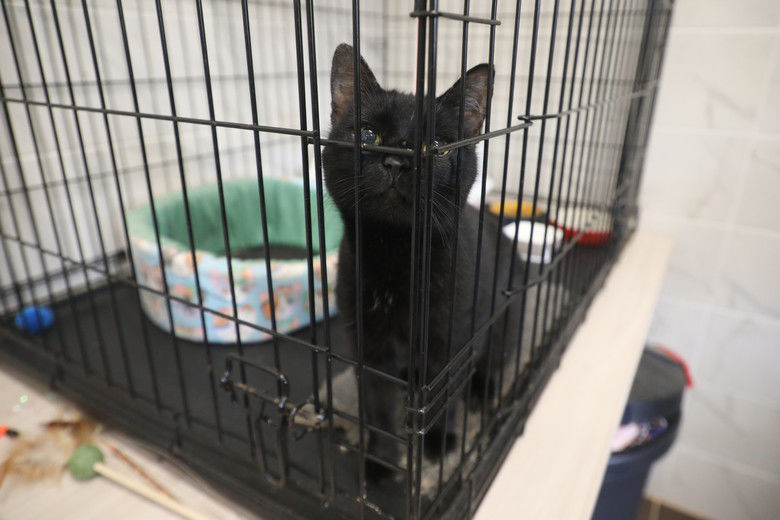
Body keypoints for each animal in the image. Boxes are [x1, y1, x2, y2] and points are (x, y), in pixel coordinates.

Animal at [323, 44, 524, 482]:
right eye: (367, 134)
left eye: (438, 145)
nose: (397, 162)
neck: (396, 257)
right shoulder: (369, 346)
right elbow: (378, 408)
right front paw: (382, 461)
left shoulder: (451, 342)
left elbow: (441, 401)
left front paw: (437, 444)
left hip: (504, 316)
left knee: (494, 360)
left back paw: (482, 394)